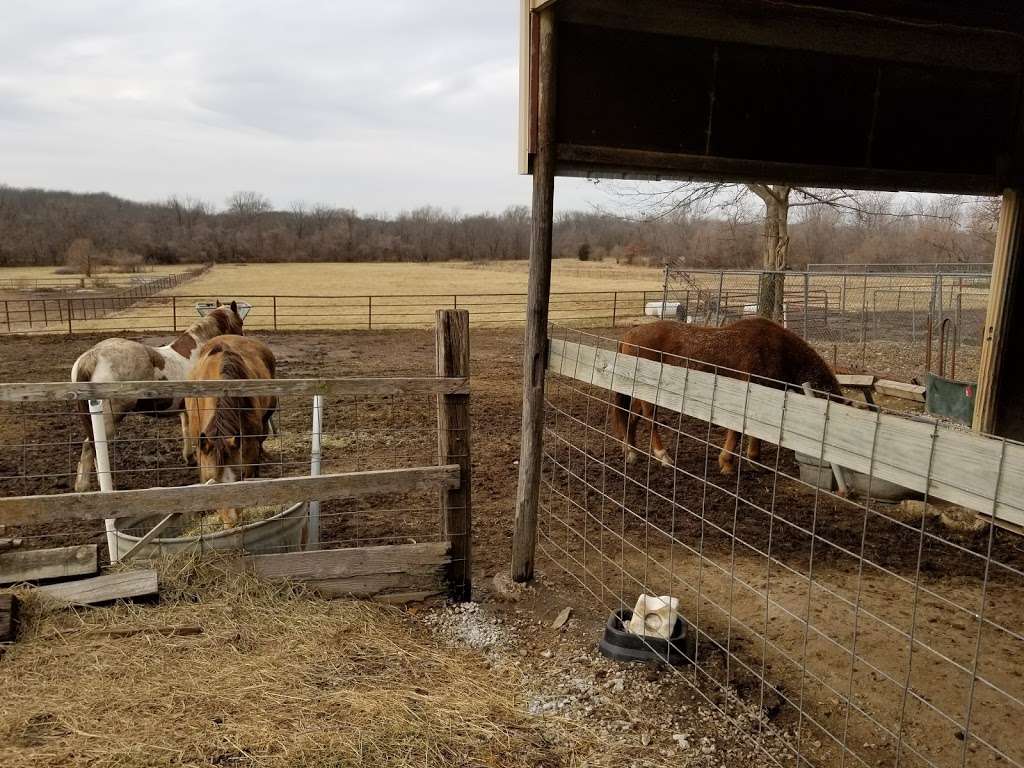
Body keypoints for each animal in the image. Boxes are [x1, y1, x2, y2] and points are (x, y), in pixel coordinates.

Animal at [70, 303, 243, 493]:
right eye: (240, 323)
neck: (197, 353)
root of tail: (92, 356)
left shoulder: (184, 409)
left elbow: (186, 430)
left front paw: (189, 457)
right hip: (109, 418)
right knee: (91, 446)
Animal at [606, 317, 839, 475]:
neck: (778, 351)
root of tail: (630, 336)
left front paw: (752, 460)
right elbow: (738, 430)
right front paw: (729, 462)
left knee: (632, 418)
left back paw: (631, 452)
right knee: (649, 419)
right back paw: (663, 456)